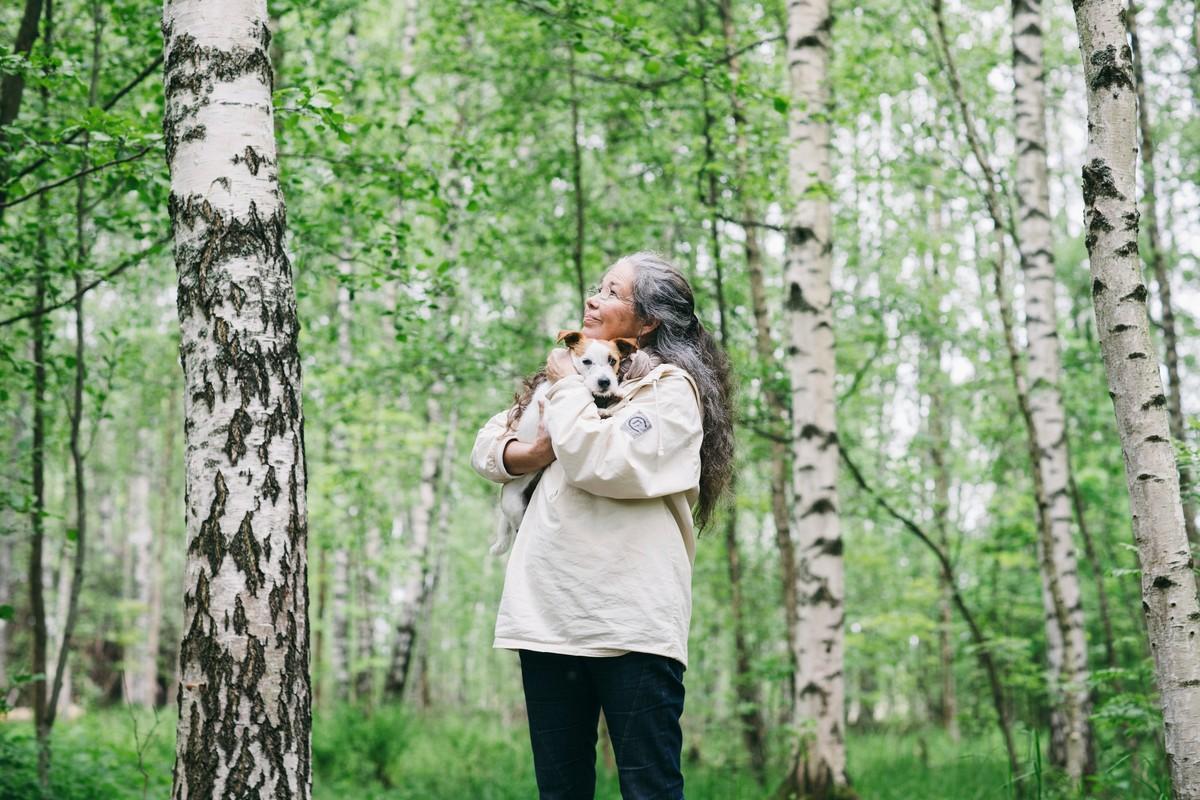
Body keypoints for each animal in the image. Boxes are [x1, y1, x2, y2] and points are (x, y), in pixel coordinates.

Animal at [489, 328, 643, 554]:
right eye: (586, 361)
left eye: (612, 360)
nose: (605, 382)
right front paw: (604, 408)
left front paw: (615, 393)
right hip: (516, 507)